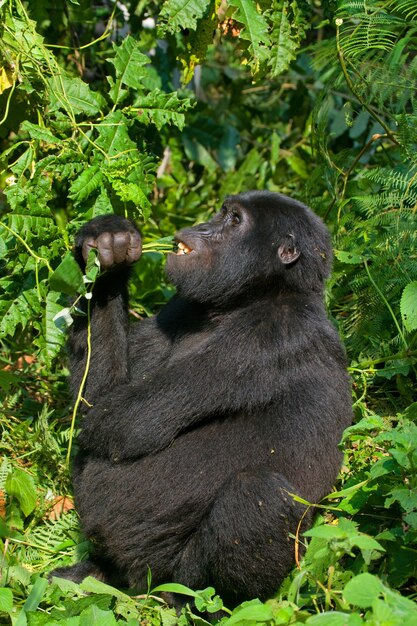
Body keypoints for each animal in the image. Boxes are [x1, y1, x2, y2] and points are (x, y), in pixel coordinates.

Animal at [52, 189, 352, 604]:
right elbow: (92, 404)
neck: (258, 295)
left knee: (256, 495)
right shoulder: (184, 304)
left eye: (234, 220)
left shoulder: (269, 337)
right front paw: (107, 246)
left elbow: (118, 421)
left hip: (174, 575)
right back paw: (97, 570)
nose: (200, 227)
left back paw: (211, 605)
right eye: (220, 212)